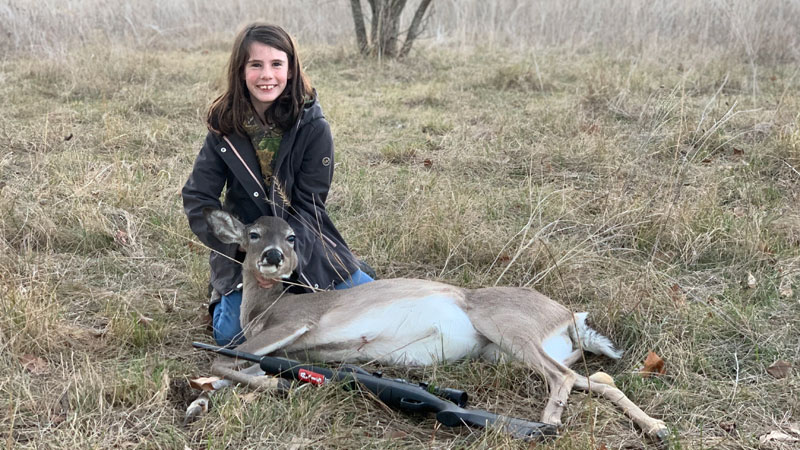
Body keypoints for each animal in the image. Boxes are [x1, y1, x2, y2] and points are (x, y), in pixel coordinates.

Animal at [194, 208, 669, 441]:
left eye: (291, 236)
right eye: (253, 233)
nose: (274, 256)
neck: (262, 310)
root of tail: (570, 317)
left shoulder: (295, 325)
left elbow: (222, 362)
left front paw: (271, 386)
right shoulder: (283, 349)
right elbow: (230, 369)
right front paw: (199, 402)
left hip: (505, 327)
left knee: (564, 378)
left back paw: (547, 422)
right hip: (509, 353)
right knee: (600, 380)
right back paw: (656, 428)